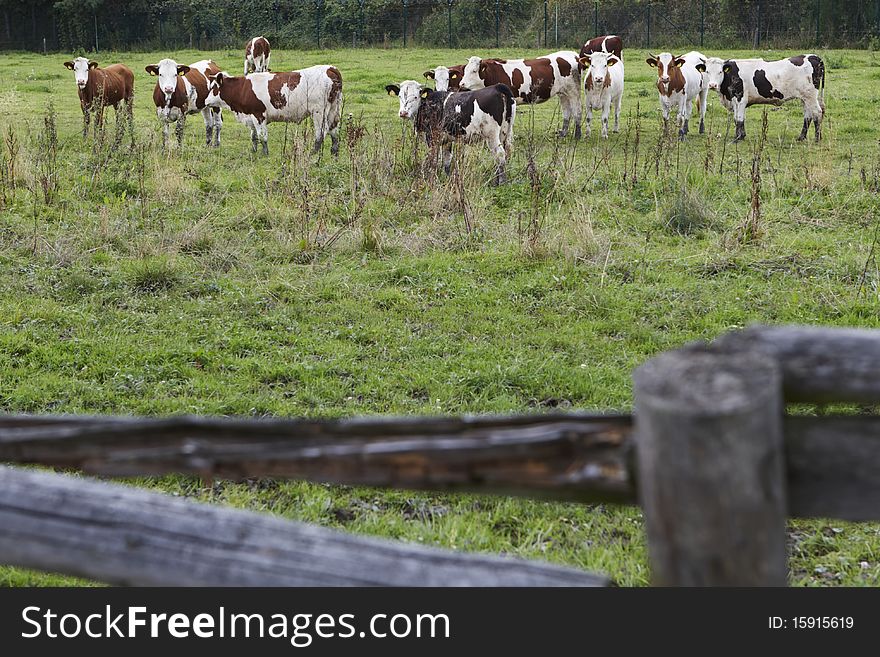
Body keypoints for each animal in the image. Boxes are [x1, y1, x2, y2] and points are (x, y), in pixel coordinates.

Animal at [206, 65, 344, 156]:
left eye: (213, 88)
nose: (205, 101)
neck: (243, 89)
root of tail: (330, 68)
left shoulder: (258, 115)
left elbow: (262, 136)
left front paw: (265, 153)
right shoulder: (250, 115)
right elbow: (253, 136)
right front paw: (253, 150)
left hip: (319, 112)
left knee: (321, 133)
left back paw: (312, 153)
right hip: (334, 108)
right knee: (334, 130)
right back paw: (334, 152)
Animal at [384, 82, 516, 186]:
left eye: (416, 97)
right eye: (399, 96)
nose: (403, 113)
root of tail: (497, 86)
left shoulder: (432, 138)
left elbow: (433, 160)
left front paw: (431, 179)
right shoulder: (446, 140)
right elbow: (447, 159)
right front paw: (446, 178)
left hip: (491, 135)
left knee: (499, 154)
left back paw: (500, 182)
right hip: (505, 132)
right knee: (505, 152)